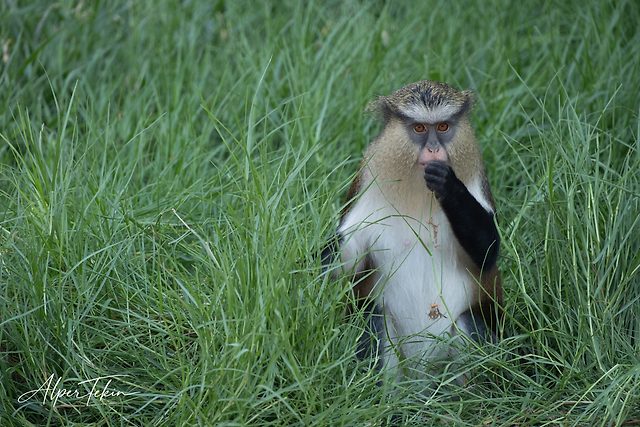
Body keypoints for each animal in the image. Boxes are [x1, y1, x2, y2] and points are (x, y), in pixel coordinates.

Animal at [324, 80, 502, 378]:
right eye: (419, 128)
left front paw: (448, 185)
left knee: (468, 321)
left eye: (442, 126)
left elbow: (488, 252)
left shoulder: (477, 185)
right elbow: (346, 259)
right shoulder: (366, 190)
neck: (418, 192)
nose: (433, 149)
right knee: (375, 319)